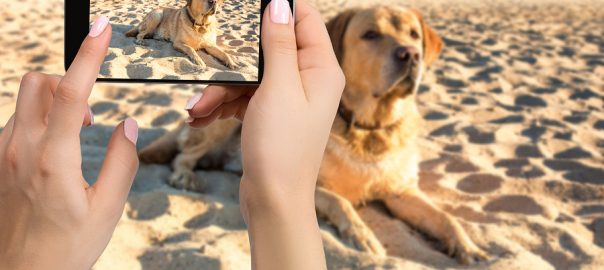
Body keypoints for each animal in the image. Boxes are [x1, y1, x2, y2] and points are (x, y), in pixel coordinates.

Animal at [139, 6, 488, 266]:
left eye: (414, 34)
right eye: (371, 35)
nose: (411, 54)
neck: (369, 129)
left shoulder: (401, 191)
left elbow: (446, 218)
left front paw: (471, 249)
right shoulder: (315, 188)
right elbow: (342, 203)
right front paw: (363, 237)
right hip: (219, 126)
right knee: (182, 155)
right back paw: (184, 176)